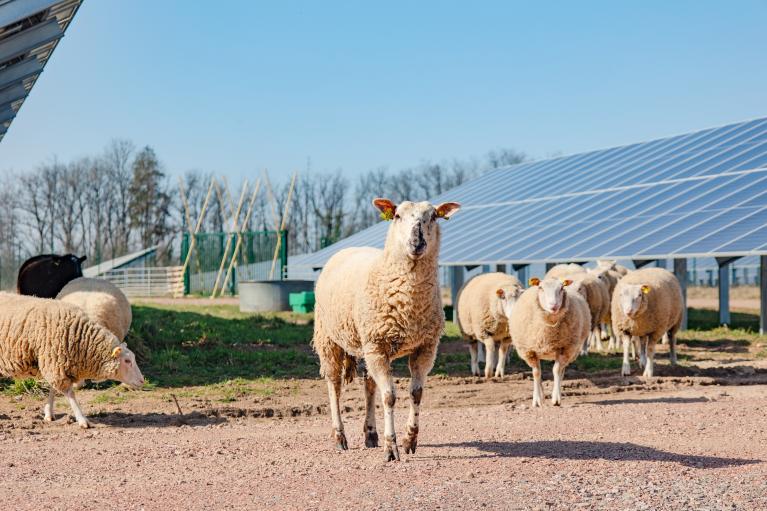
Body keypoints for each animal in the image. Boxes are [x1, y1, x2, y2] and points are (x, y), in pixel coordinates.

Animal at [0, 293, 144, 428]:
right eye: (127, 361)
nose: (142, 381)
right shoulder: (54, 361)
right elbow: (70, 394)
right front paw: (82, 420)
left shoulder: (56, 362)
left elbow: (53, 389)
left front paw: (49, 413)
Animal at [312, 198, 460, 462]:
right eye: (397, 216)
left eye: (433, 216)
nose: (416, 242)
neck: (408, 302)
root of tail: (347, 248)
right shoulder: (378, 346)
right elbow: (390, 396)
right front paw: (391, 447)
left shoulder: (425, 347)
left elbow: (416, 393)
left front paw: (409, 439)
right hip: (328, 338)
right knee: (334, 385)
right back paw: (340, 436)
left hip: (367, 344)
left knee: (369, 385)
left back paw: (371, 434)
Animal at [509, 277, 590, 407]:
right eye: (541, 287)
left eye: (562, 288)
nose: (554, 306)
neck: (548, 332)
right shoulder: (530, 351)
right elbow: (536, 373)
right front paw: (537, 400)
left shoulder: (563, 348)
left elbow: (556, 370)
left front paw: (556, 399)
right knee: (539, 372)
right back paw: (541, 396)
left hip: (570, 352)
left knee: (561, 371)